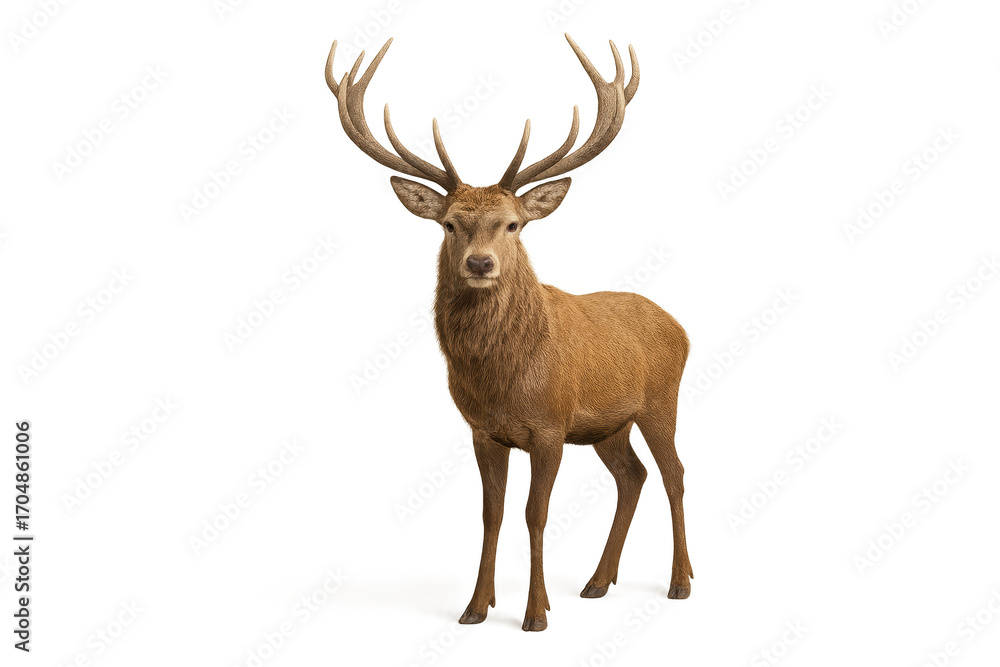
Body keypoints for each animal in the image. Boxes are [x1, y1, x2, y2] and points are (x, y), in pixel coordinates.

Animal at [325, 34, 692, 632]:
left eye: (514, 224)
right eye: (450, 223)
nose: (479, 263)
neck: (503, 380)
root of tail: (680, 326)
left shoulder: (550, 426)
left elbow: (534, 514)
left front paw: (536, 612)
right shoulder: (482, 431)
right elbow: (491, 514)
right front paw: (476, 607)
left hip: (661, 399)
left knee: (674, 474)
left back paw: (680, 582)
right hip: (608, 425)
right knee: (631, 476)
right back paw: (597, 581)